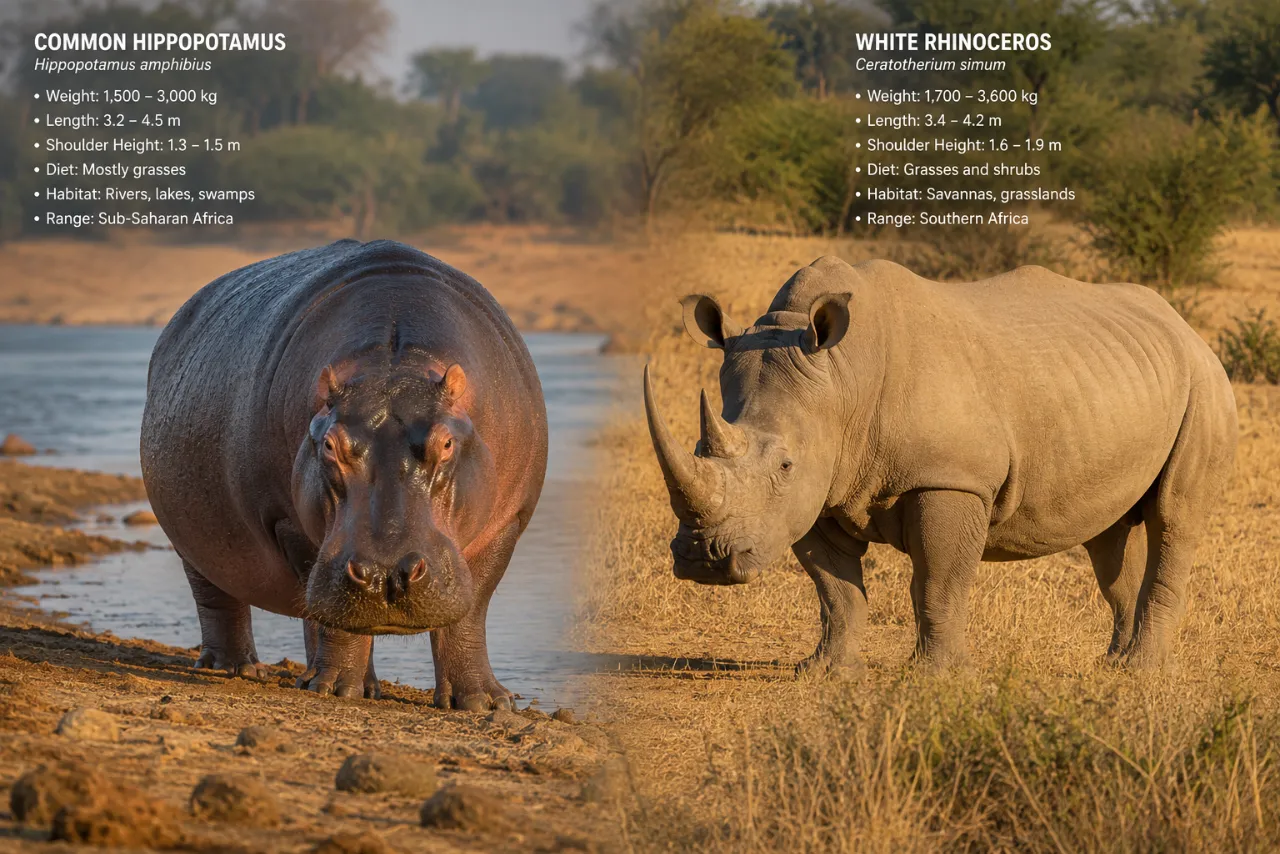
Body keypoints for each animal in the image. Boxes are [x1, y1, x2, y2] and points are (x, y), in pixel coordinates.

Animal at [141, 239, 547, 709]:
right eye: (330, 445)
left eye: (446, 443)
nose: (386, 573)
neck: (394, 364)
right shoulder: (287, 521)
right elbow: (335, 622)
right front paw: (333, 689)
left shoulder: (507, 521)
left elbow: (470, 612)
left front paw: (486, 702)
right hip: (194, 543)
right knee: (220, 599)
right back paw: (238, 669)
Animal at [644, 257, 1237, 674]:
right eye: (698, 448)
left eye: (785, 465)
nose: (702, 559)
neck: (842, 379)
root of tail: (1184, 326)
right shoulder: (818, 491)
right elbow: (835, 589)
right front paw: (826, 673)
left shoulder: (950, 480)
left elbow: (938, 581)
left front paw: (940, 677)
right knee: (1110, 537)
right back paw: (1113, 665)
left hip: (1205, 383)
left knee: (1174, 518)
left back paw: (1143, 672)